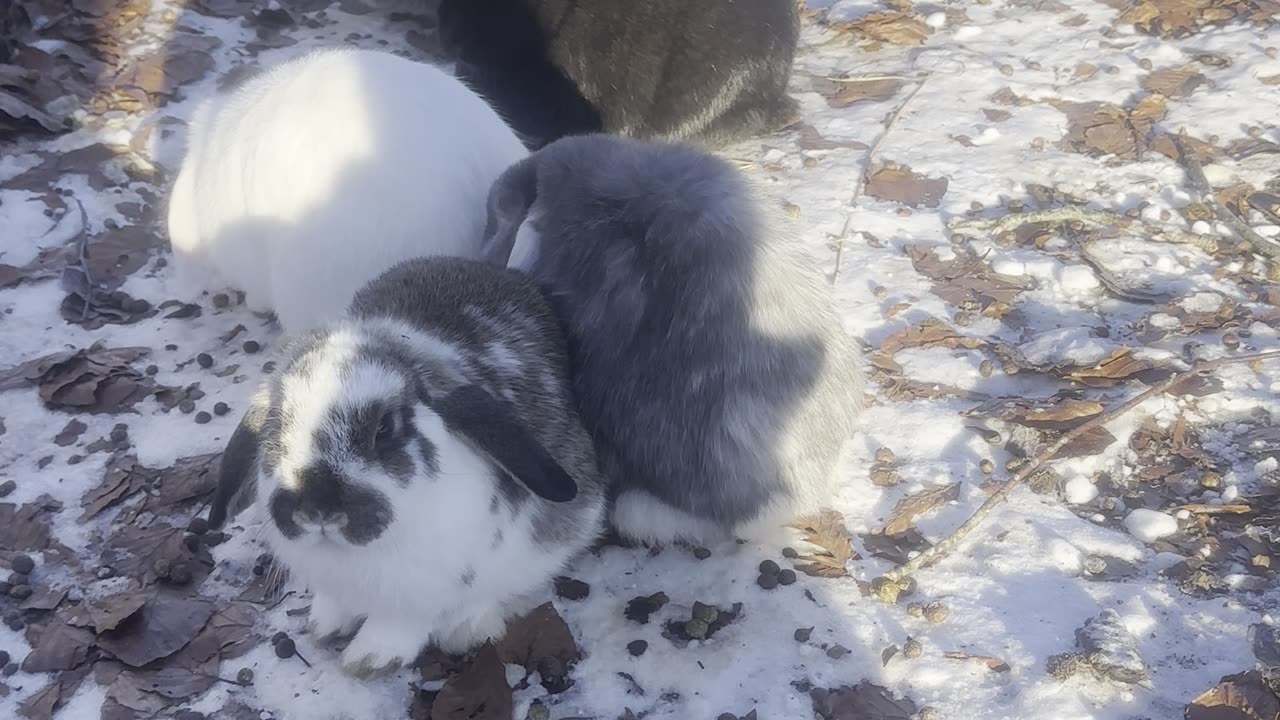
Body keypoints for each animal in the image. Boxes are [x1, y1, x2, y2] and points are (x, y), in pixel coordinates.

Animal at [205, 256, 606, 677]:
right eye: (277, 427)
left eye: (384, 428)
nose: (317, 510)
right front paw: (325, 625)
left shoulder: (431, 590)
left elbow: (406, 622)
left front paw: (368, 660)